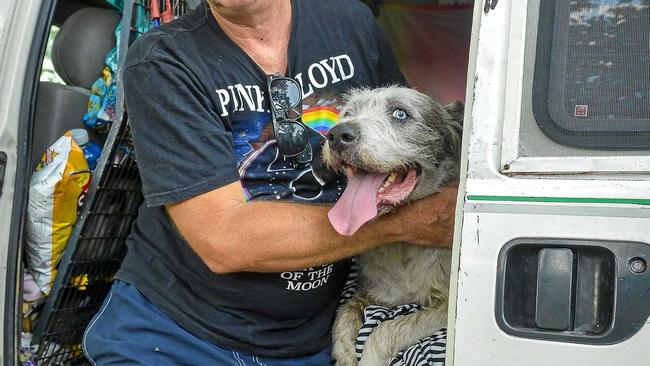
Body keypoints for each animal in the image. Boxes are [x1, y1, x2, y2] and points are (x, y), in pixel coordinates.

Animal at [324, 86, 460, 366]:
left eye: (400, 113)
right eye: (348, 113)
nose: (338, 135)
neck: (403, 248)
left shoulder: (444, 306)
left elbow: (386, 330)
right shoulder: (373, 295)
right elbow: (344, 314)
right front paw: (345, 356)